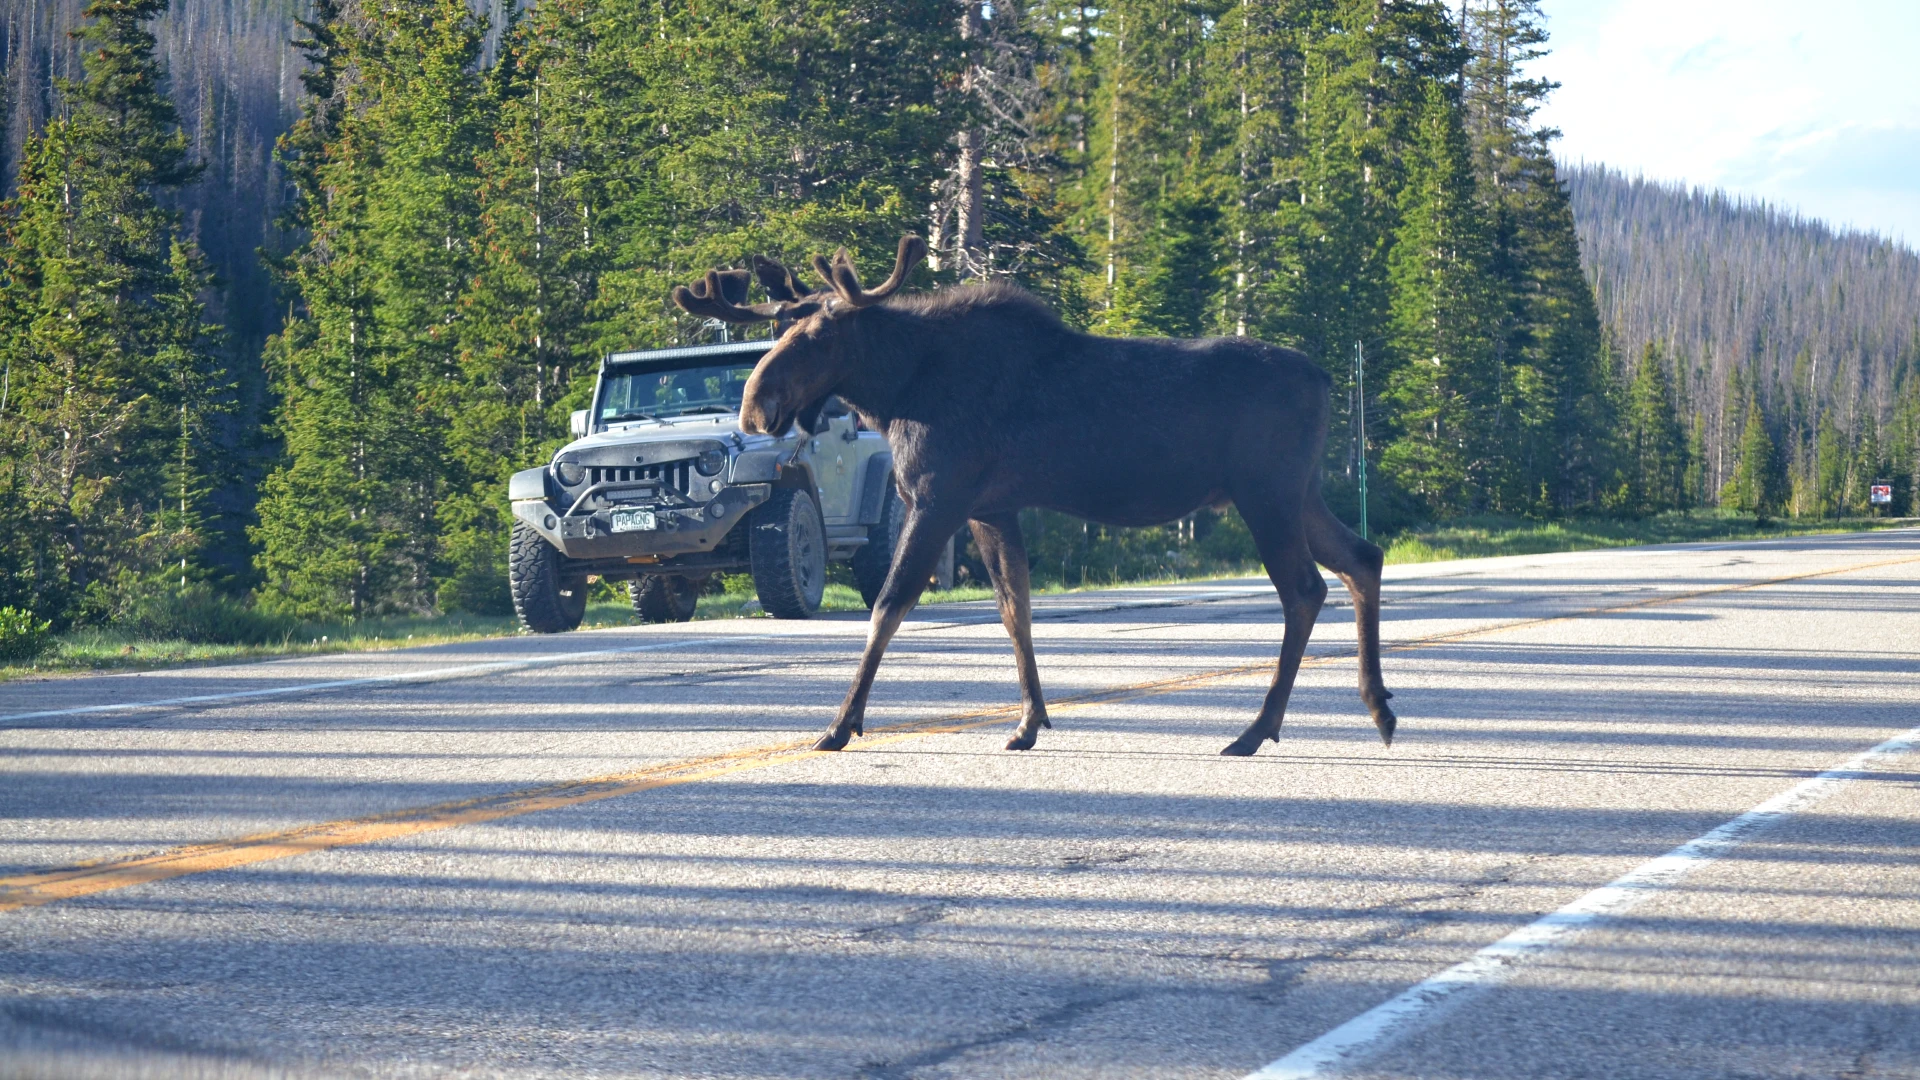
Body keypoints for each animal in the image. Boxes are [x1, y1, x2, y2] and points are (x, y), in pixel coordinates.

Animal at [679, 235, 1397, 757]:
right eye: (779, 329)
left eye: (823, 336)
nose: (756, 405)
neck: (899, 389)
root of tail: (1327, 379)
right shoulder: (991, 506)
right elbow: (1014, 610)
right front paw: (1029, 722)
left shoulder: (937, 498)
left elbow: (888, 607)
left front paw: (839, 724)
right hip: (1298, 492)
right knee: (1362, 557)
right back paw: (1378, 709)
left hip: (1265, 490)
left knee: (1305, 589)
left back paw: (1257, 729)